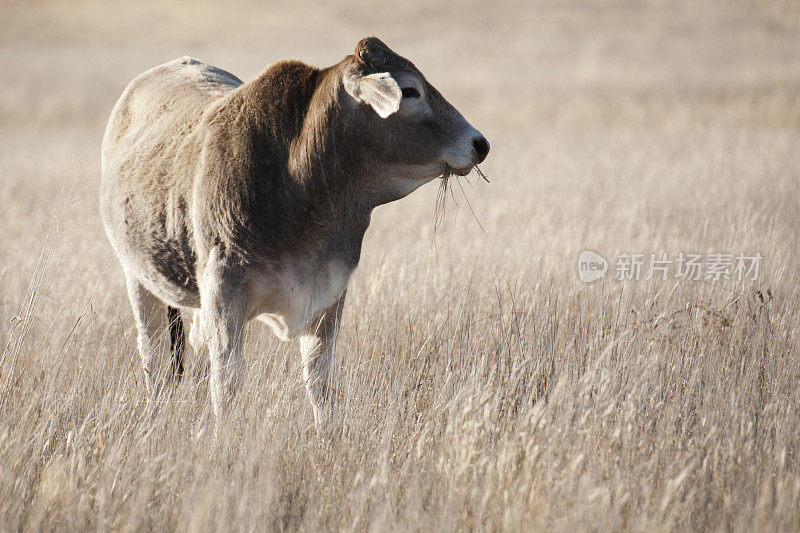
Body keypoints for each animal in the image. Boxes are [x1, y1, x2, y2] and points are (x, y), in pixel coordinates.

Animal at [100, 37, 488, 428]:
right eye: (409, 91)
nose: (480, 144)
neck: (298, 178)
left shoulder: (330, 293)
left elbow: (320, 383)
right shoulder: (224, 297)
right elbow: (227, 385)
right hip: (139, 279)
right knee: (155, 362)